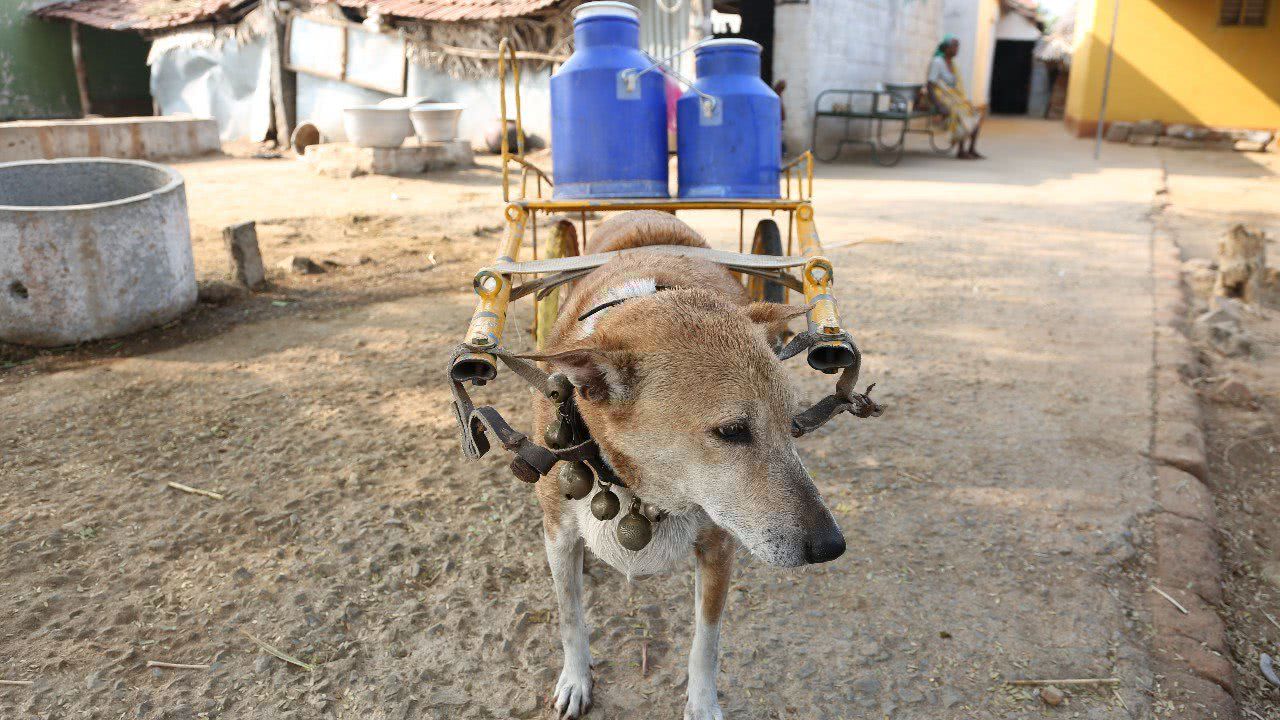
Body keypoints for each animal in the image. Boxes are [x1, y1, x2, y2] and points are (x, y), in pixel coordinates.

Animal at [527, 210, 839, 712]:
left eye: (792, 422)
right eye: (731, 431)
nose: (833, 546)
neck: (639, 490)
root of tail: (647, 211)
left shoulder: (719, 547)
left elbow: (706, 642)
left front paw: (703, 706)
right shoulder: (557, 533)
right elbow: (570, 617)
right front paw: (575, 680)